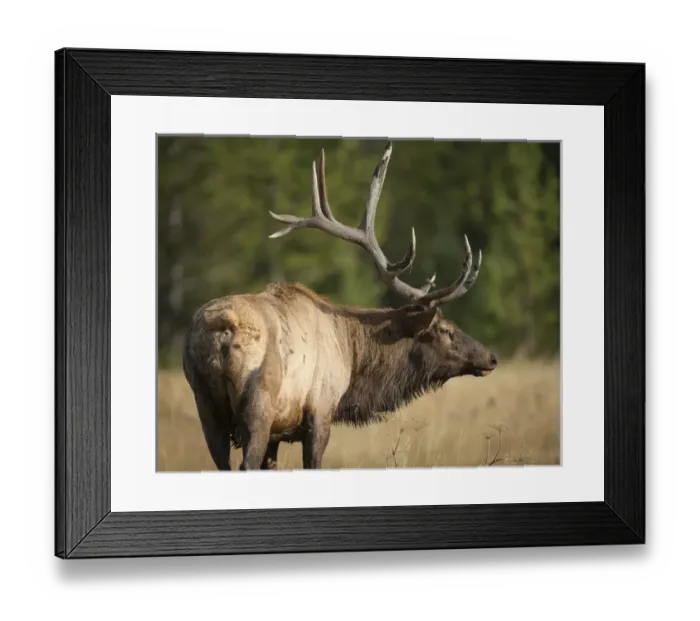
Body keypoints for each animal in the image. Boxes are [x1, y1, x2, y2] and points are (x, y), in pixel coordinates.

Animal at [182, 142, 498, 471]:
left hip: (205, 405)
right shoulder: (321, 410)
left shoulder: (278, 434)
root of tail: (220, 330)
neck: (352, 351)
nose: (490, 357)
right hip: (258, 405)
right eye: (444, 329)